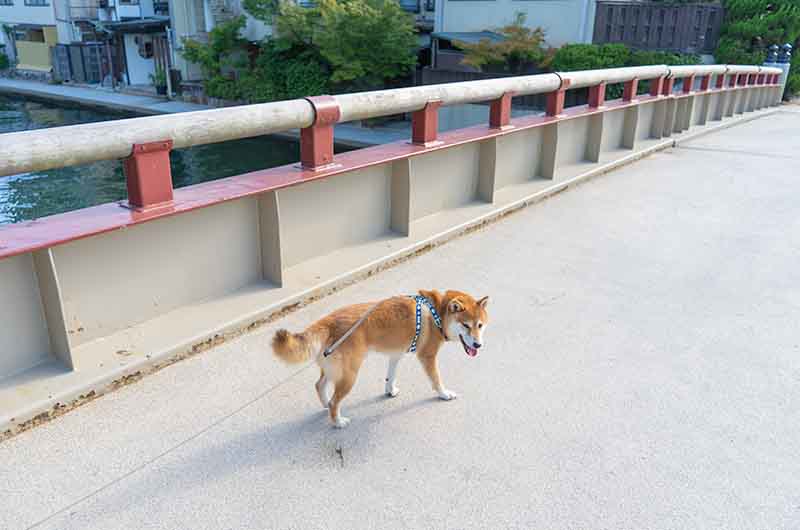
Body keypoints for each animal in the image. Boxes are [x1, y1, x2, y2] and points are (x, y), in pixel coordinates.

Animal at [274, 290, 488, 426]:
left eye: (480, 325)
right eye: (466, 326)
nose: (478, 345)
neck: (438, 312)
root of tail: (328, 321)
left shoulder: (396, 354)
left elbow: (390, 377)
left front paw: (389, 391)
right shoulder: (427, 356)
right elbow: (436, 380)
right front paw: (444, 394)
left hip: (333, 369)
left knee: (319, 386)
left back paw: (326, 406)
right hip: (349, 376)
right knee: (335, 401)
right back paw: (337, 421)